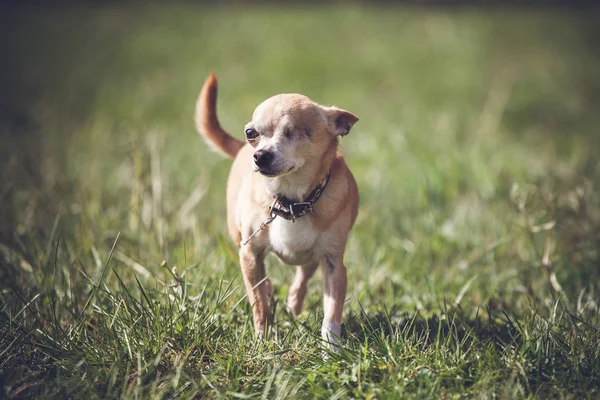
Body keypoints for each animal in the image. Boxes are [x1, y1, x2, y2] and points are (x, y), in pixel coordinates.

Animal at [195, 72, 358, 350]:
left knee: (301, 277)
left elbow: (332, 311)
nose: (260, 155)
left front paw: (331, 348)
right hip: (240, 239)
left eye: (295, 133)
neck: (291, 201)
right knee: (263, 283)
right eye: (251, 133)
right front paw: (262, 340)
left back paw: (293, 303)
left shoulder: (333, 264)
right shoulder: (249, 253)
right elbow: (258, 303)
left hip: (312, 258)